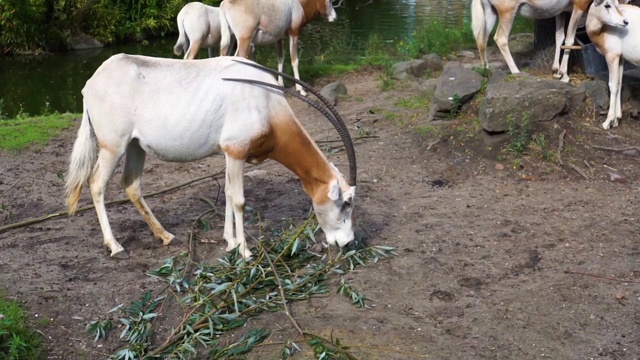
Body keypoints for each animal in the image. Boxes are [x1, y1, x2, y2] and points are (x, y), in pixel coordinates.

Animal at [65, 54, 358, 258]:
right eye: (347, 202)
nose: (348, 242)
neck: (266, 103)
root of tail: (91, 84)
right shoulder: (236, 151)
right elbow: (239, 200)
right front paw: (245, 250)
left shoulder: (229, 154)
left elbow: (227, 194)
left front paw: (230, 241)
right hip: (113, 146)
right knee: (96, 184)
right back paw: (115, 246)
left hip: (135, 146)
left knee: (131, 184)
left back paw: (165, 235)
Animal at [588, 0, 636, 129]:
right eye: (607, 4)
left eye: (617, 4)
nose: (625, 22)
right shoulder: (620, 58)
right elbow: (619, 83)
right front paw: (616, 119)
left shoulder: (611, 56)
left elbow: (612, 86)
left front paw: (607, 122)